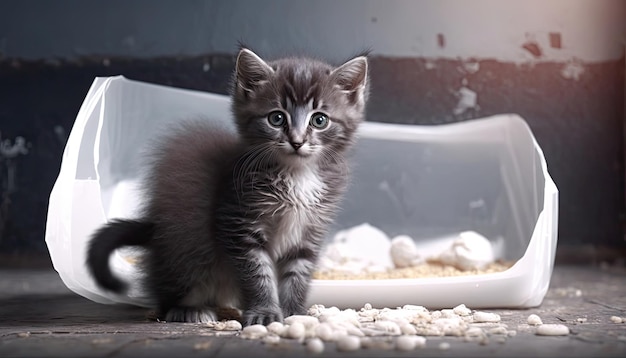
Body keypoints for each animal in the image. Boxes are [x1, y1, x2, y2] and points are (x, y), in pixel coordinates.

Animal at [88, 48, 370, 328]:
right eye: (277, 118)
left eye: (319, 120)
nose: (297, 141)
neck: (297, 173)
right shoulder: (237, 220)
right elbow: (257, 273)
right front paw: (264, 311)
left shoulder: (310, 230)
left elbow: (297, 274)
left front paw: (294, 311)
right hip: (186, 250)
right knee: (166, 294)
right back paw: (187, 309)